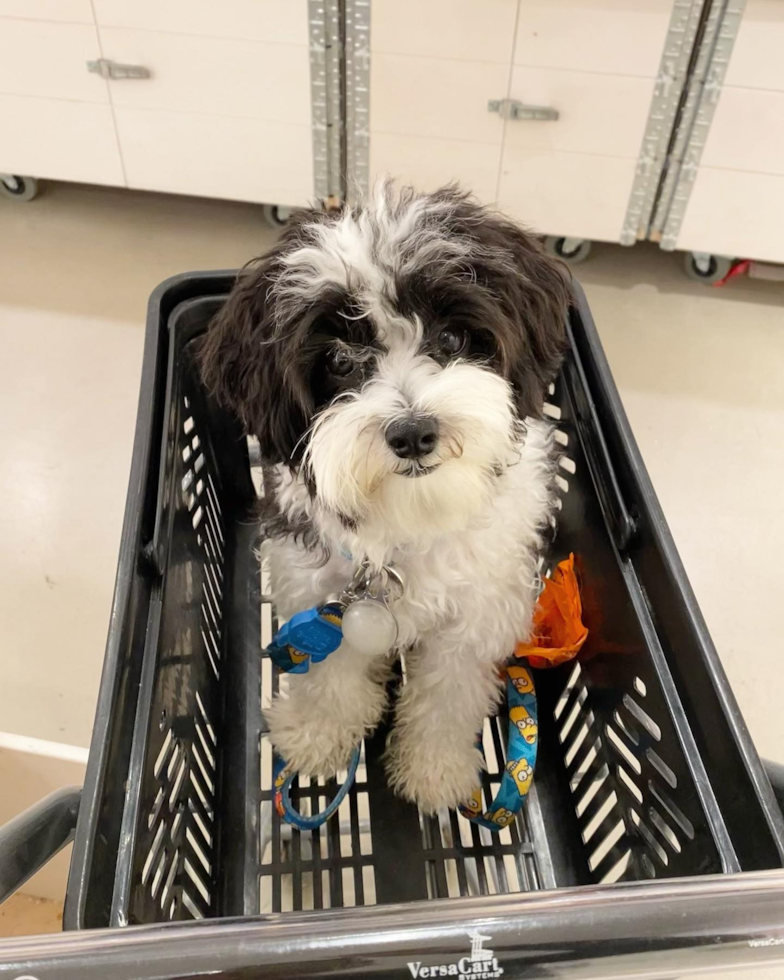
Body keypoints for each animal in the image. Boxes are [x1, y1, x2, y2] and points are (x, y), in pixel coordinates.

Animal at [201, 182, 568, 812]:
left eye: (451, 337)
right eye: (340, 359)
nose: (414, 432)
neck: (409, 521)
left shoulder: (480, 612)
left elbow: (450, 692)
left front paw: (434, 768)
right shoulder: (318, 594)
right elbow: (331, 676)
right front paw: (316, 734)